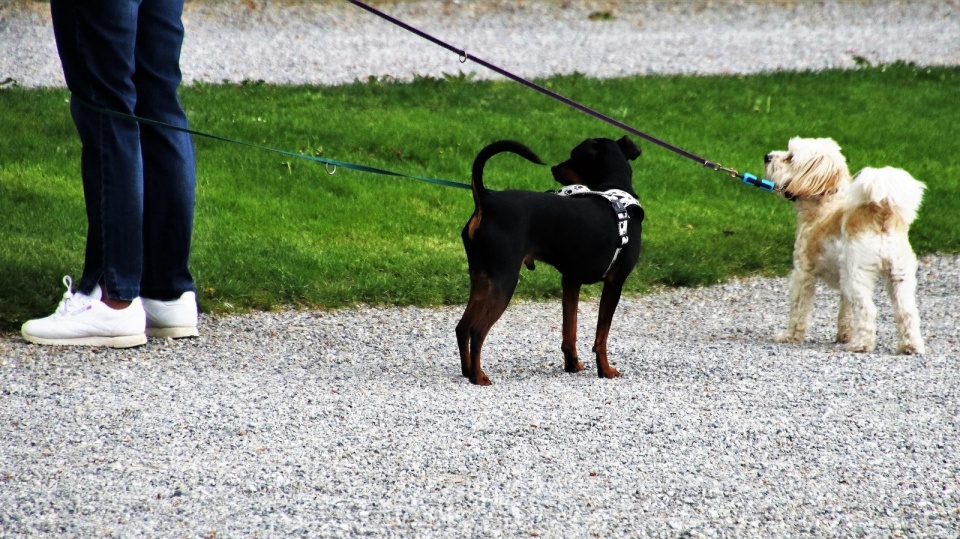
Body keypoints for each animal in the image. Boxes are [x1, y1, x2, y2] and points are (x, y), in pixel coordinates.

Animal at [458, 137, 644, 386]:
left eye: (574, 156)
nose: (554, 168)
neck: (615, 190)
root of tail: (487, 200)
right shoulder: (615, 282)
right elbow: (601, 337)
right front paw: (605, 370)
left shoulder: (571, 281)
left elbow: (570, 331)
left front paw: (572, 365)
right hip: (504, 281)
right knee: (477, 330)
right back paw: (478, 376)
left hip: (481, 279)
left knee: (463, 327)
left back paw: (468, 371)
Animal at [764, 136, 924, 354]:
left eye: (790, 157)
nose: (767, 156)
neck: (824, 205)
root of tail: (881, 215)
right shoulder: (843, 278)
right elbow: (846, 310)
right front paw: (844, 334)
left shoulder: (803, 273)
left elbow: (798, 308)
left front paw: (790, 336)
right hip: (899, 276)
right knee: (907, 311)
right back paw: (910, 346)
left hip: (857, 275)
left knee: (868, 310)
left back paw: (861, 344)